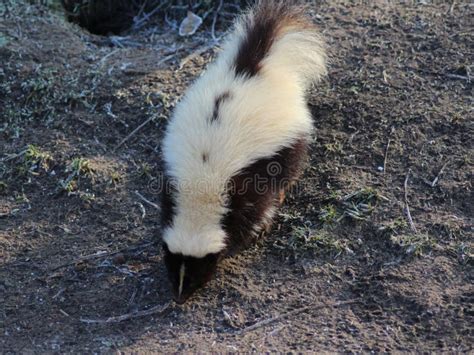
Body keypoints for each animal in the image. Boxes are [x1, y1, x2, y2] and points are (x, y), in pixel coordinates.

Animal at [159, 0, 326, 306]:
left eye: (200, 271)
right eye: (172, 266)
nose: (180, 297)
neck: (202, 187)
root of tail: (252, 67)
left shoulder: (247, 185)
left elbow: (255, 212)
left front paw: (253, 234)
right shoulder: (172, 185)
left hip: (289, 141)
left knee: (289, 170)